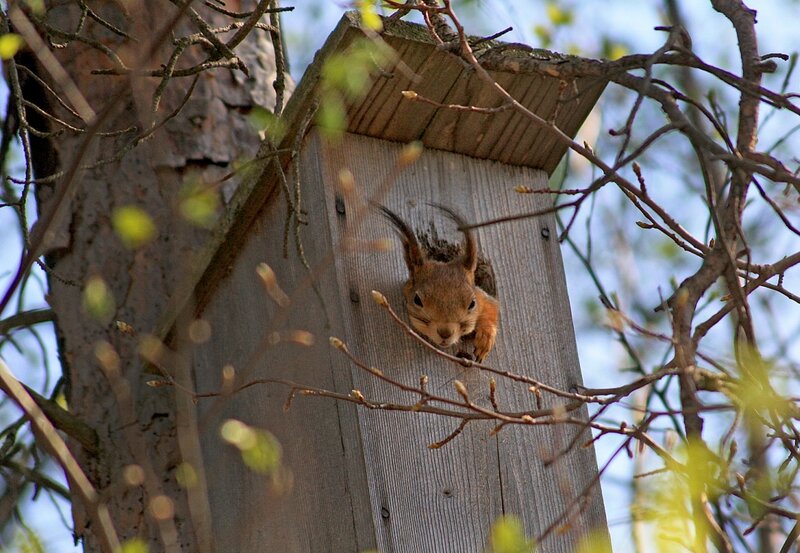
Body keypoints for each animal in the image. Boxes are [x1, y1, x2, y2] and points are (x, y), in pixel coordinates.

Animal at [376, 204, 500, 362]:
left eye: (472, 303)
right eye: (417, 300)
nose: (445, 333)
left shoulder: (483, 297)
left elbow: (492, 308)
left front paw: (485, 339)